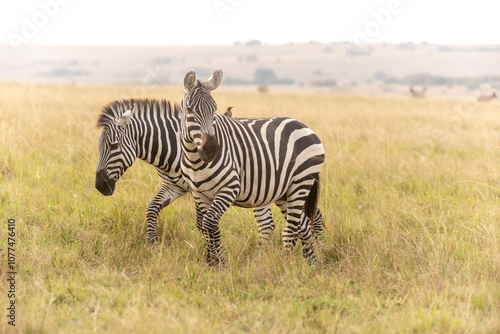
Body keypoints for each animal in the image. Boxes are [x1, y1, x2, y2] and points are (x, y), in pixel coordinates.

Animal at [94, 99, 278, 243]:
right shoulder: (173, 186)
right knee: (267, 224)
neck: (173, 149)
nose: (100, 186)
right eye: (98, 147)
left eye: (113, 146)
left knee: (266, 224)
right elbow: (151, 209)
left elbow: (200, 223)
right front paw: (153, 243)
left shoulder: (198, 189)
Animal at [180, 69, 324, 268]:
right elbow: (206, 226)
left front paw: (220, 264)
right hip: (283, 191)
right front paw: (212, 263)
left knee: (292, 228)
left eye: (214, 109)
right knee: (304, 224)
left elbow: (209, 223)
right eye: (190, 109)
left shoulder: (229, 188)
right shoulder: (199, 193)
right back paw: (312, 264)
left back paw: (285, 266)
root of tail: (304, 126)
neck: (195, 160)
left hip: (301, 182)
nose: (212, 149)